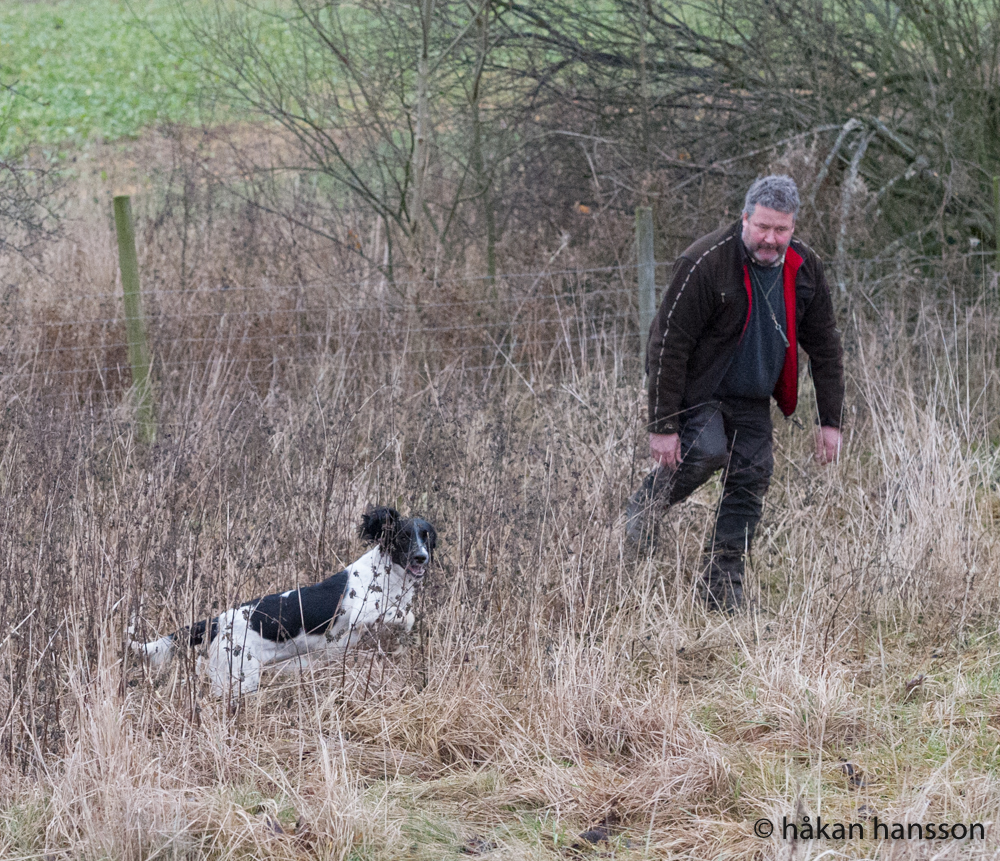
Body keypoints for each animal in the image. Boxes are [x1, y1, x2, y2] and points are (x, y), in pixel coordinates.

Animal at [129, 506, 436, 696]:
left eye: (427, 536)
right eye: (404, 536)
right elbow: (405, 616)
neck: (386, 574)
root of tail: (216, 621)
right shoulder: (363, 614)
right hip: (240, 677)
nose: (422, 557)